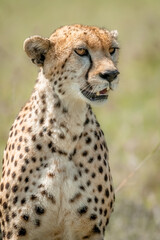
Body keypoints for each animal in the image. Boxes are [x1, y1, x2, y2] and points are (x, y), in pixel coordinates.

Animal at [0, 24, 119, 240]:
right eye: (81, 51)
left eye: (112, 49)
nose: (111, 74)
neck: (65, 130)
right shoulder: (16, 230)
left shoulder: (91, 230)